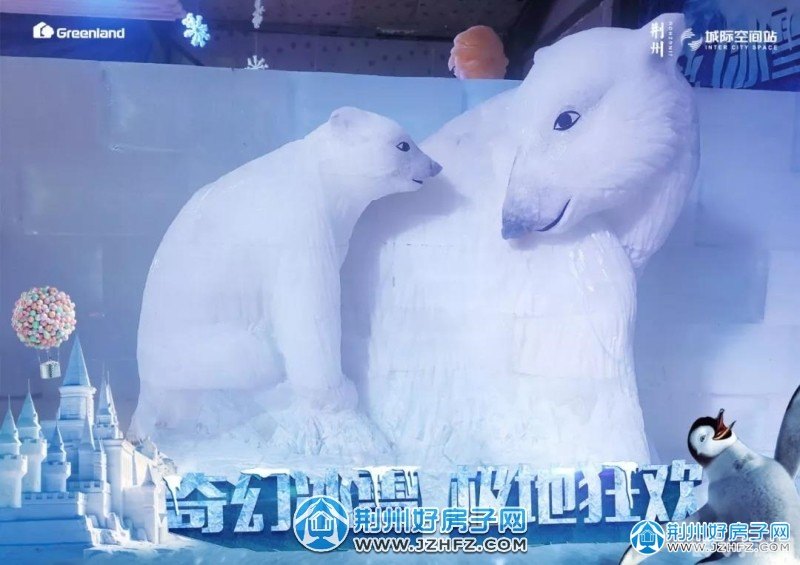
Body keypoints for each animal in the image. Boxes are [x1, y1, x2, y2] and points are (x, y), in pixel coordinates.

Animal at [133, 107, 442, 456]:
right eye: (403, 144)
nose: (435, 166)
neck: (319, 175)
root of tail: (145, 388)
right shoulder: (301, 226)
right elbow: (309, 314)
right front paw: (340, 394)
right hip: (202, 349)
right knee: (256, 359)